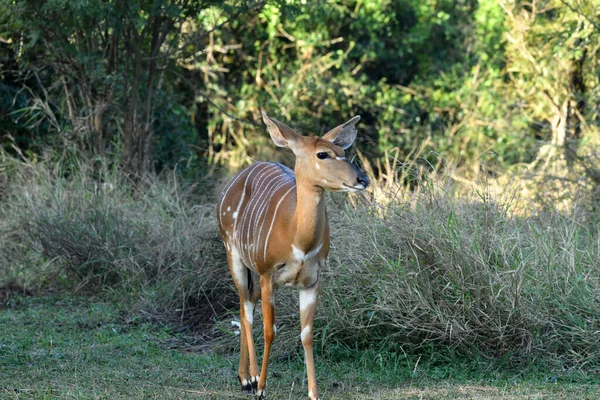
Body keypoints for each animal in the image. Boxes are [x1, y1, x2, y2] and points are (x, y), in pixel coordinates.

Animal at [216, 111, 366, 398]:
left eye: (343, 151)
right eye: (322, 154)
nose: (363, 179)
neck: (299, 239)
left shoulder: (312, 280)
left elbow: (307, 334)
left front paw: (314, 393)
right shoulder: (267, 272)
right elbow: (269, 330)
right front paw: (262, 388)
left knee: (245, 302)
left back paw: (243, 377)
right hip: (234, 254)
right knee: (246, 307)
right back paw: (250, 379)